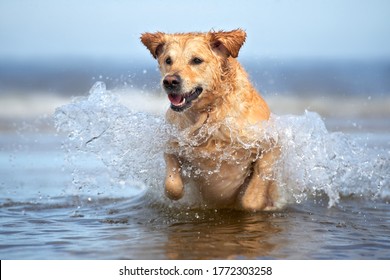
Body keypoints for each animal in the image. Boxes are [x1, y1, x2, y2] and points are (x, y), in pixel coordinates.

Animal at [141, 29, 280, 211]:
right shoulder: (172, 143)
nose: (170, 81)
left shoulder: (271, 143)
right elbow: (172, 186)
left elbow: (251, 198)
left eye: (196, 60)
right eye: (168, 60)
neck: (208, 113)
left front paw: (264, 203)